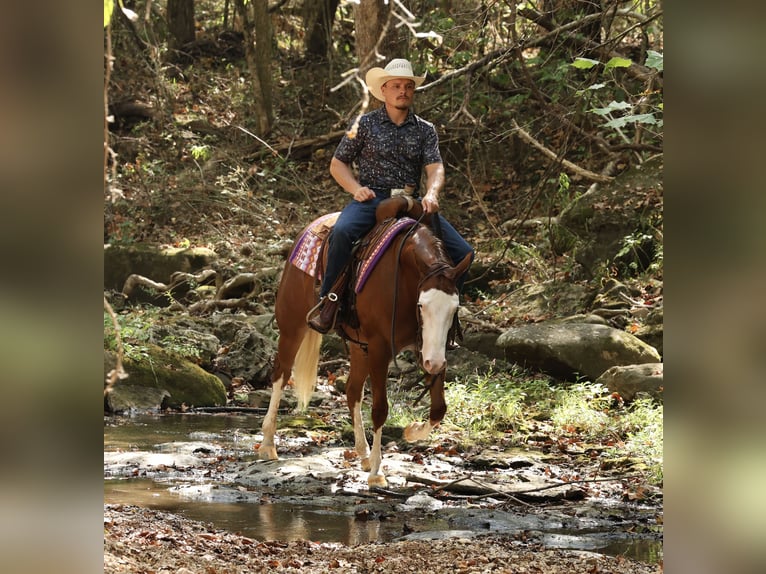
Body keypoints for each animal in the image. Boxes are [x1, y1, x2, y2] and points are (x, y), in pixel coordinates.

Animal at [258, 196, 472, 487]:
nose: (435, 363)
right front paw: (377, 473)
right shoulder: (381, 347)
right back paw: (268, 444)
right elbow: (380, 408)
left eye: (454, 308)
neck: (404, 276)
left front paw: (411, 432)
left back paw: (363, 453)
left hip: (360, 346)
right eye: (422, 305)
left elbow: (439, 408)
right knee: (280, 373)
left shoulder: (427, 347)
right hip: (292, 326)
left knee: (352, 390)